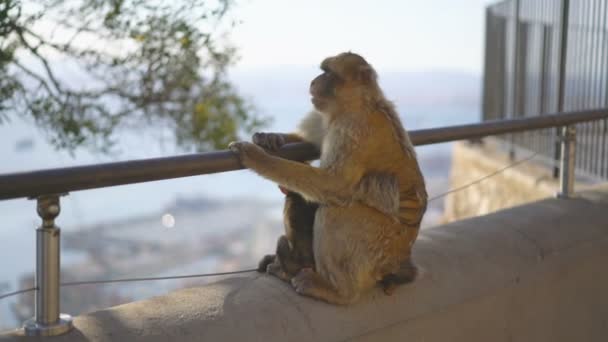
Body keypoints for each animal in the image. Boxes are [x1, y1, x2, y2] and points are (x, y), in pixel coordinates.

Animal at [230, 52, 426, 304]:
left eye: (328, 72)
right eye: (322, 71)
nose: (314, 81)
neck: (356, 103)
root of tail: (399, 260)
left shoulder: (354, 129)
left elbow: (336, 186)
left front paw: (257, 158)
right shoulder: (327, 118)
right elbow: (309, 143)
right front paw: (270, 138)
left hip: (380, 248)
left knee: (336, 211)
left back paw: (336, 290)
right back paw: (292, 265)